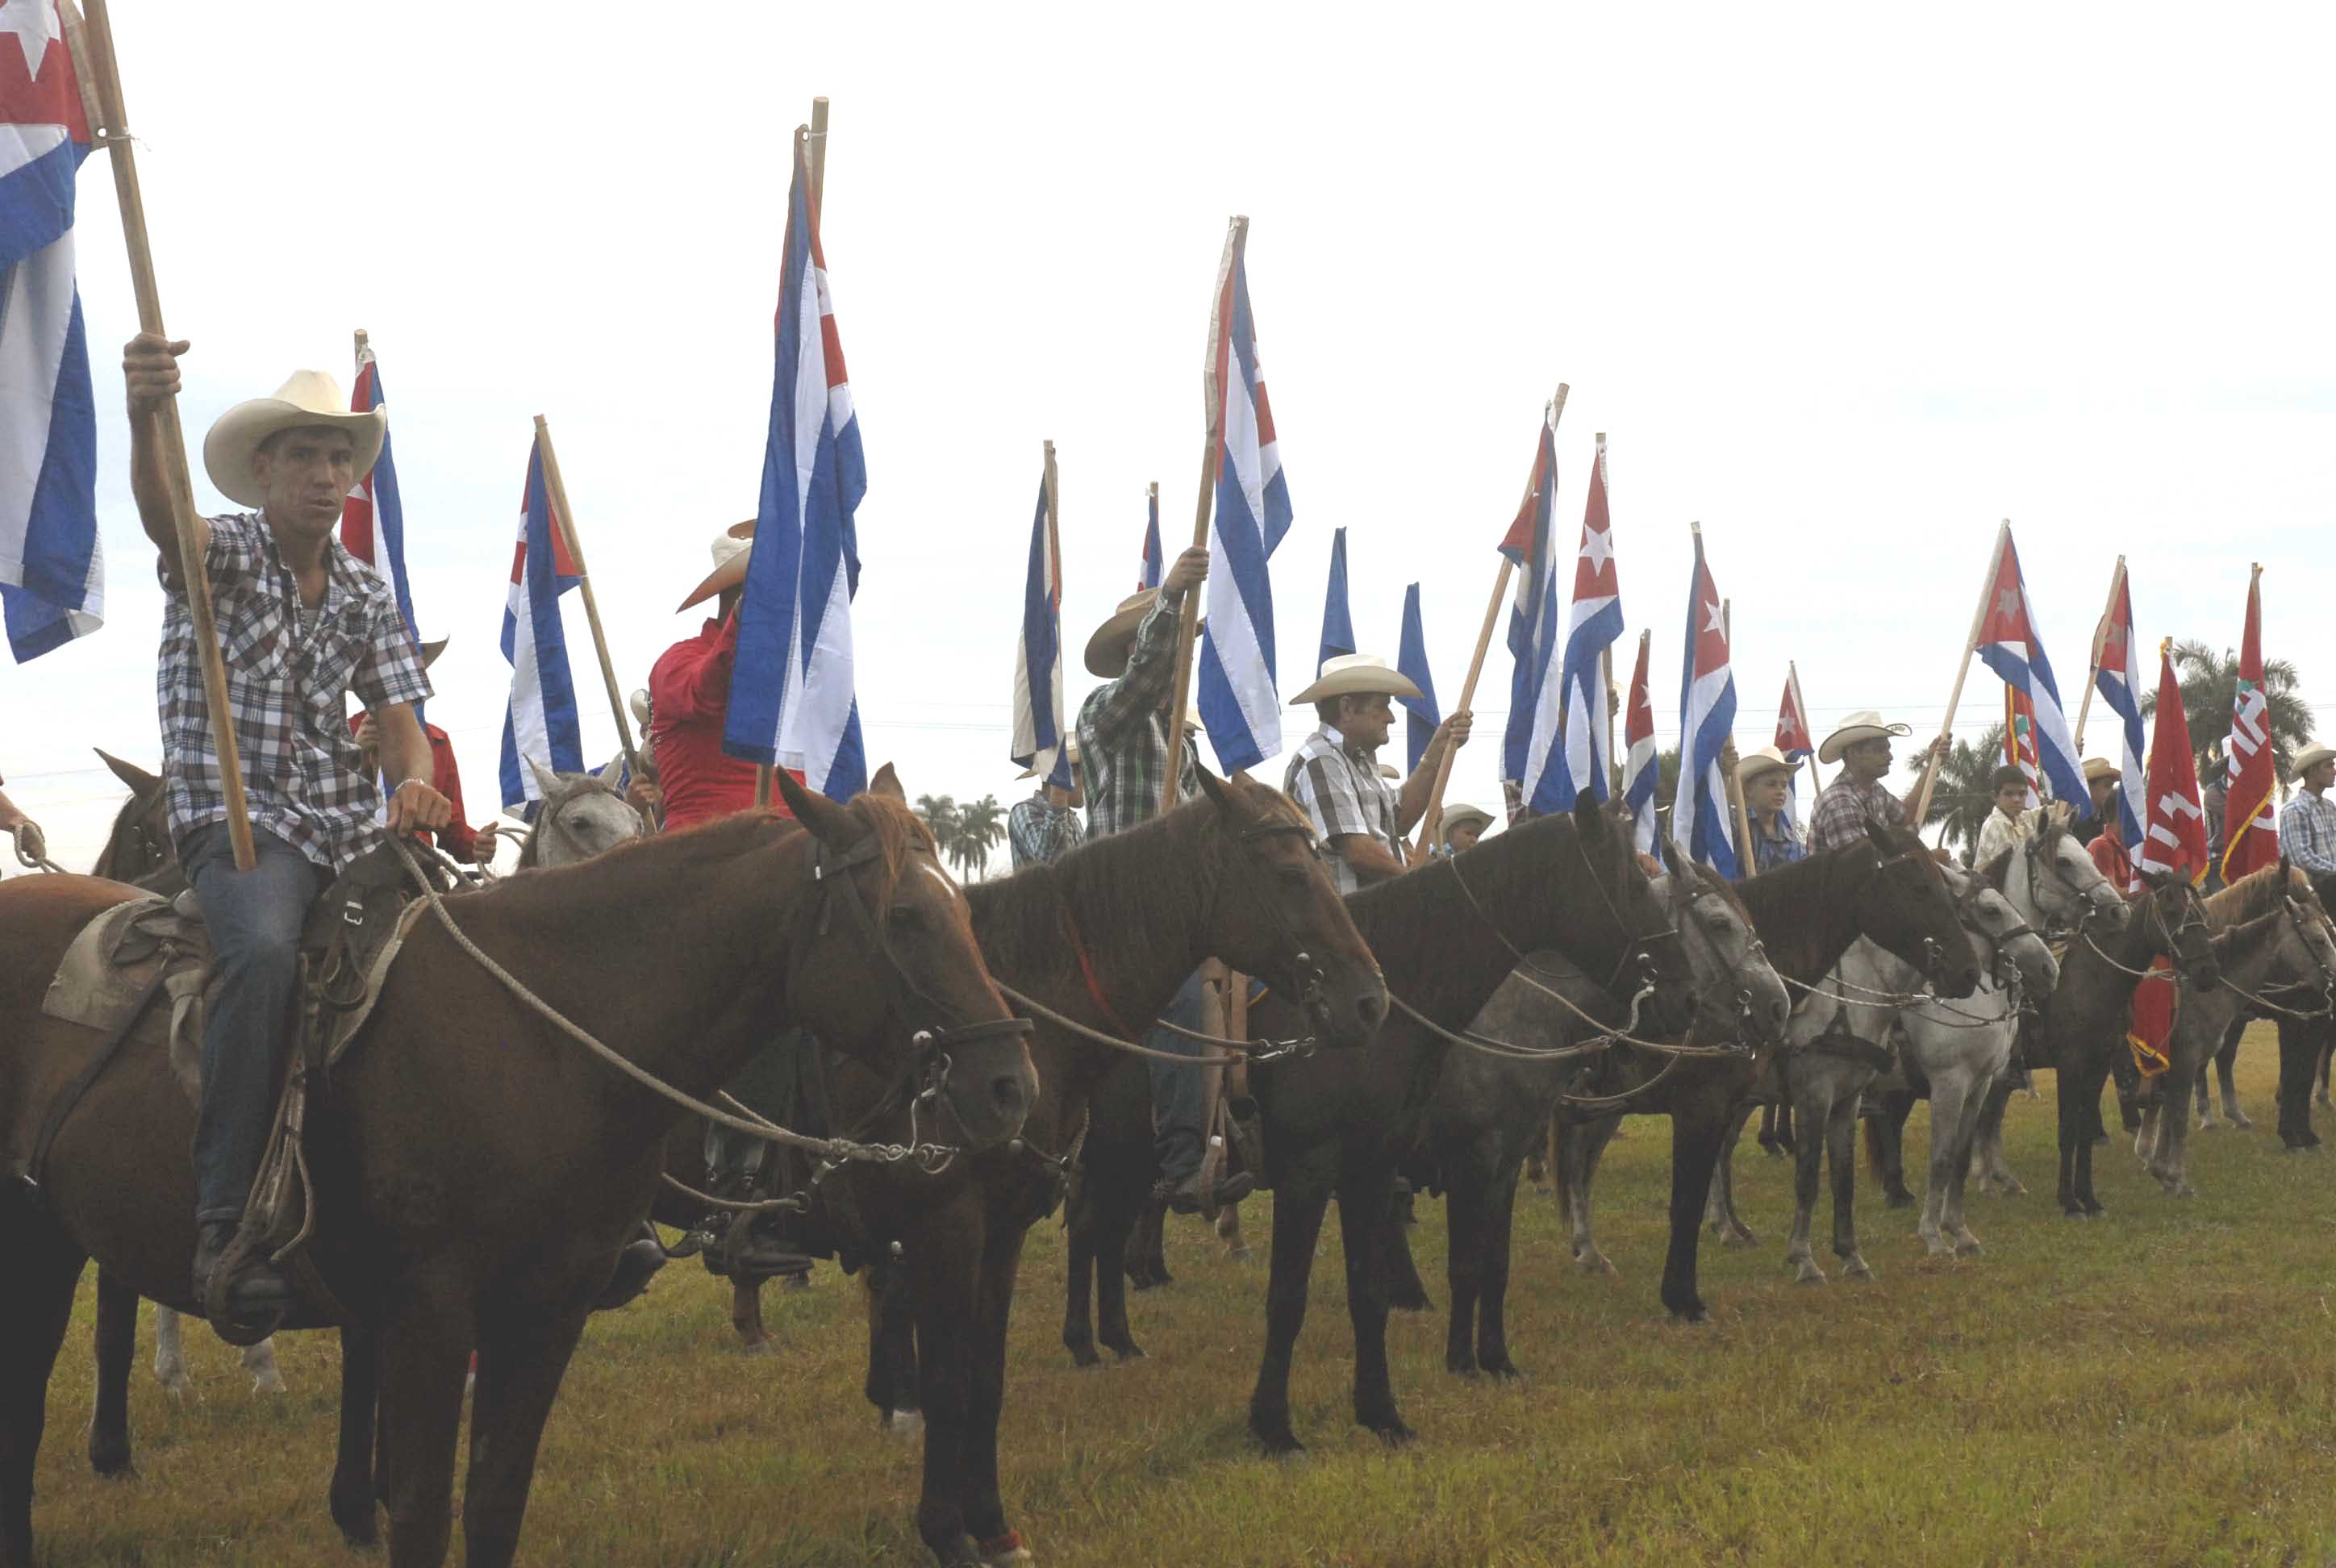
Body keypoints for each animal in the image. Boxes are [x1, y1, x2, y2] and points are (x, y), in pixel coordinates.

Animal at [0, 771, 1041, 1568]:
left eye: (961, 908)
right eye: (904, 916)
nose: (1009, 1088)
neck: (540, 1036)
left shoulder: (545, 1312)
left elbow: (494, 1505)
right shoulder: (427, 1317)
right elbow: (423, 1516)